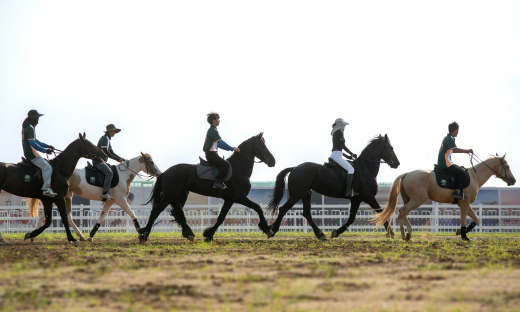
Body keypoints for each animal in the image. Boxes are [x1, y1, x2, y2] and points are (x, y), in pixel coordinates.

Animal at [26, 152, 159, 243]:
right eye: (151, 162)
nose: (158, 173)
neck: (123, 175)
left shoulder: (109, 202)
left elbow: (101, 218)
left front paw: (91, 236)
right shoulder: (121, 200)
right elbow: (132, 215)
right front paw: (141, 235)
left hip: (67, 197)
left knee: (68, 217)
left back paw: (81, 236)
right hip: (58, 198)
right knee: (43, 215)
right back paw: (32, 236)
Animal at [138, 133, 276, 243]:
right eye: (263, 146)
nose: (273, 161)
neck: (238, 169)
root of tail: (166, 172)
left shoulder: (229, 200)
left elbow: (221, 218)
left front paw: (209, 235)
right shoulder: (239, 197)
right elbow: (258, 208)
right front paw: (268, 230)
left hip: (178, 195)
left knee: (178, 213)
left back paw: (188, 233)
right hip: (168, 196)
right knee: (156, 212)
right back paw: (144, 235)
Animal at [266, 133, 400, 240]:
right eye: (391, 148)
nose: (397, 163)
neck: (365, 168)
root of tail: (294, 168)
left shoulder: (356, 199)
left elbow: (352, 218)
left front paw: (336, 232)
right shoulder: (368, 197)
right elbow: (381, 211)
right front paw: (391, 232)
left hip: (306, 194)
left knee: (307, 213)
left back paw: (320, 234)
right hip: (297, 195)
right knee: (283, 209)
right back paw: (272, 230)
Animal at [374, 154, 516, 241]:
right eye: (507, 166)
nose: (513, 180)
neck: (474, 177)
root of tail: (407, 174)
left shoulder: (465, 204)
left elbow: (476, 219)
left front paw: (459, 232)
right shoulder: (464, 203)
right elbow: (463, 220)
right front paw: (464, 236)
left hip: (410, 200)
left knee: (401, 214)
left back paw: (405, 236)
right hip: (417, 200)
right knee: (402, 211)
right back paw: (409, 232)